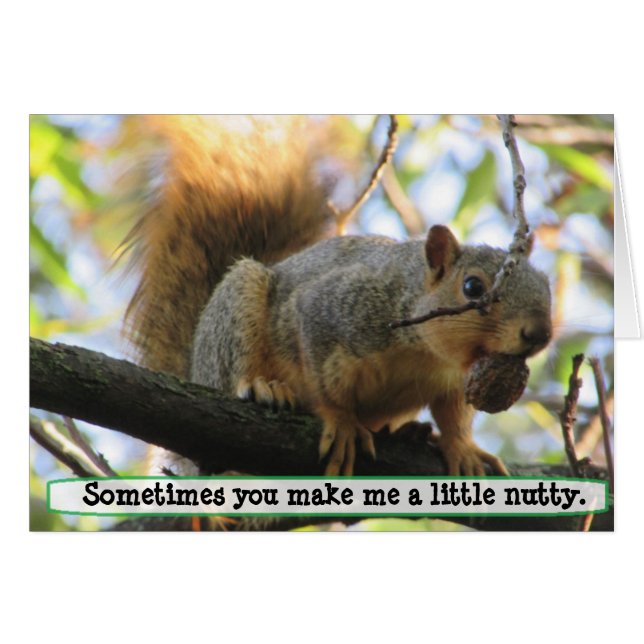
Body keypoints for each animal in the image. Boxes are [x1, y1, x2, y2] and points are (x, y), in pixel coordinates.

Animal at [122, 115, 552, 478]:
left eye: (546, 285)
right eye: (473, 287)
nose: (540, 334)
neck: (428, 354)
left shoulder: (453, 381)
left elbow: (454, 416)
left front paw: (462, 448)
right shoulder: (335, 309)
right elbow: (324, 379)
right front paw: (342, 421)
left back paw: (408, 432)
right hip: (235, 311)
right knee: (235, 370)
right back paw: (264, 388)